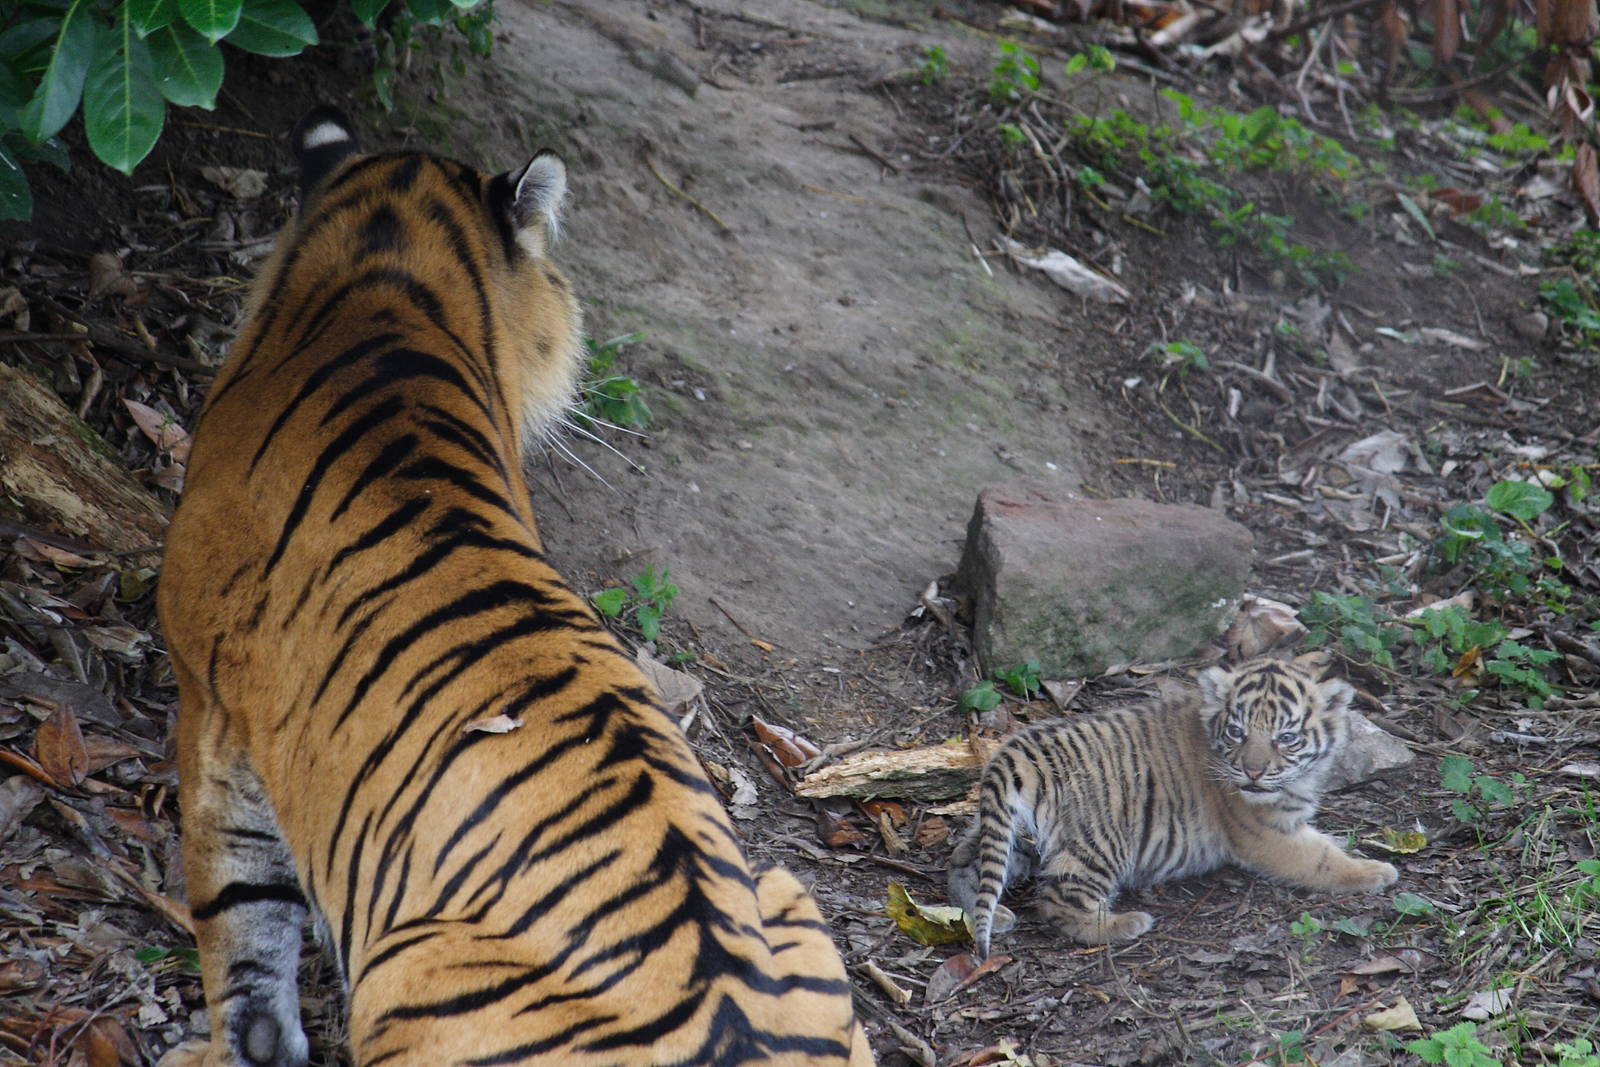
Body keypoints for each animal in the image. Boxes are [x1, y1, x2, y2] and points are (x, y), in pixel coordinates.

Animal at [947, 653, 1399, 959]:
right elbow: (1321, 859)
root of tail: (1017, 751)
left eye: (1286, 737)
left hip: (1011, 833)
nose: (1252, 772)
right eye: (1237, 732)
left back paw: (991, 916)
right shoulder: (1264, 834)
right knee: (1058, 901)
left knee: (964, 865)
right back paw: (1123, 923)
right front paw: (1374, 871)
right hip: (1101, 843)